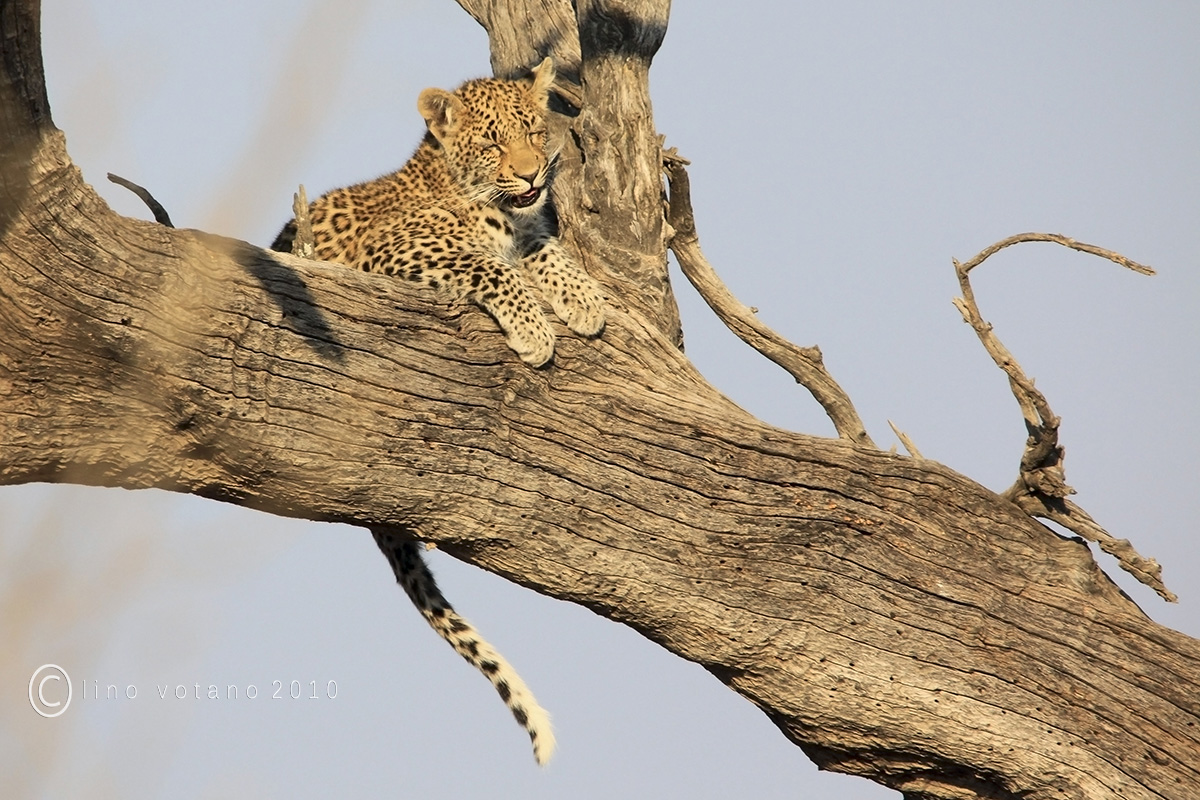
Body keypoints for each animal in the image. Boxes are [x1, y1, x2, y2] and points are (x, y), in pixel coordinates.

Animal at [270, 58, 606, 766]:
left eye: (536, 131)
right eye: (492, 143)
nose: (530, 174)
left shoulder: (528, 228)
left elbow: (542, 248)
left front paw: (584, 298)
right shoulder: (393, 251)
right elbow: (489, 266)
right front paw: (537, 329)